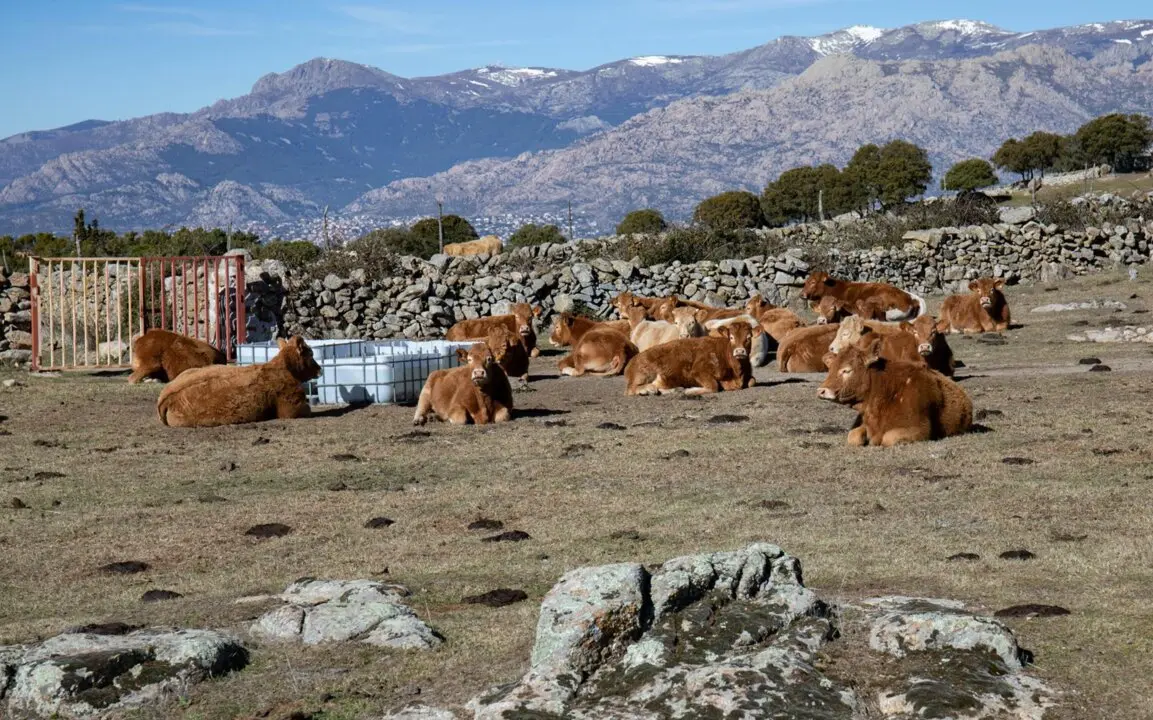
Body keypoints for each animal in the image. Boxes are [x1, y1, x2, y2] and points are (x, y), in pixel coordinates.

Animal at [625, 322, 755, 396]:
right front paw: (691, 391)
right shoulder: (698, 370)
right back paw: (648, 390)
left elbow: (752, 381)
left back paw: (674, 390)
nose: (739, 351)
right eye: (731, 337)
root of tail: (631, 362)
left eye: (749, 337)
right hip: (644, 372)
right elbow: (713, 386)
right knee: (630, 389)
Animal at [818, 338, 972, 447]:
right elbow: (853, 437)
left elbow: (888, 439)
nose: (821, 391)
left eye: (847, 370)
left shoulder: (918, 430)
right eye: (830, 369)